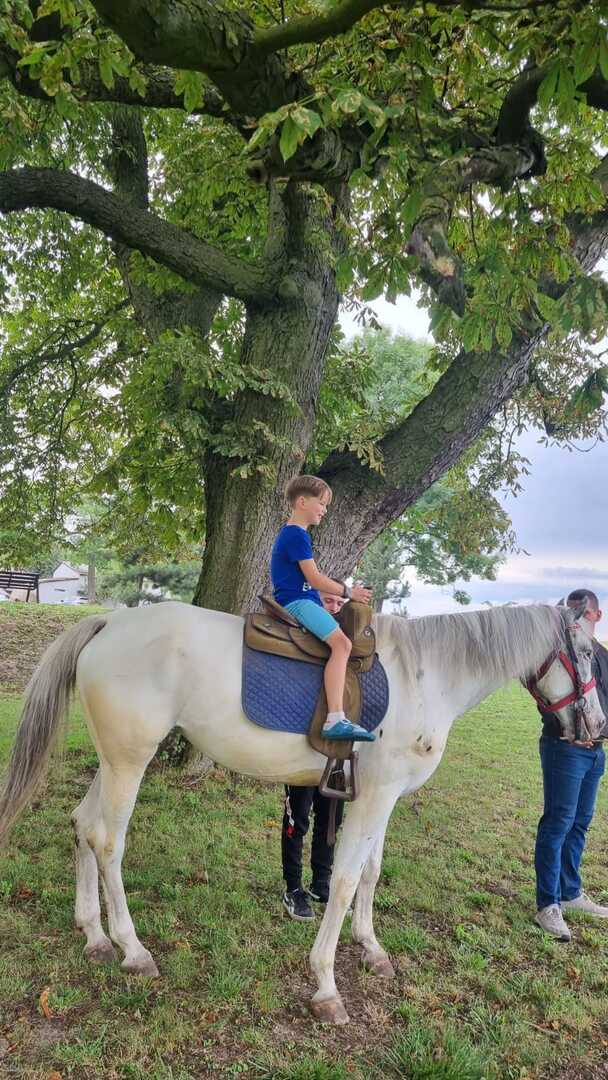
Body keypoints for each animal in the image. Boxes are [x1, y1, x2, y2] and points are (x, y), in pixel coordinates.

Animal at [0, 600, 603, 1025]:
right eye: (587, 654)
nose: (595, 728)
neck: (425, 675)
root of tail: (109, 622)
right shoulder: (374, 796)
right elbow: (343, 880)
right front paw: (327, 984)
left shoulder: (384, 797)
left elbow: (371, 873)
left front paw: (372, 948)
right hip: (129, 760)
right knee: (108, 841)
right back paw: (132, 948)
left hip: (112, 760)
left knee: (82, 825)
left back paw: (95, 936)